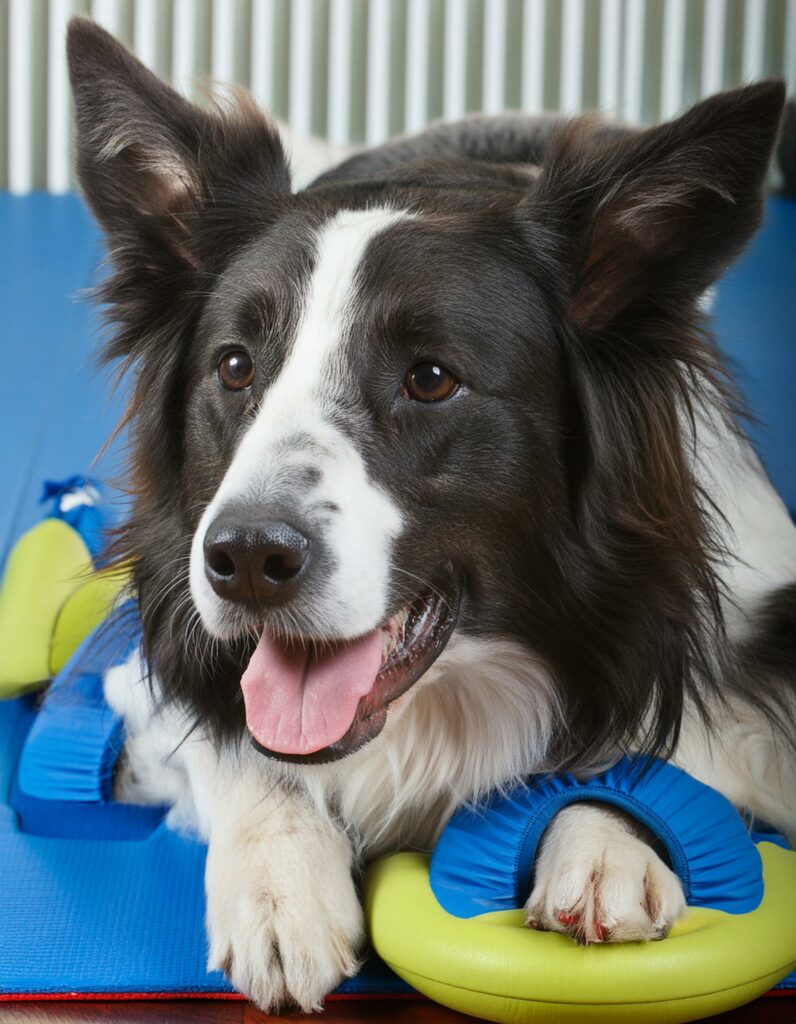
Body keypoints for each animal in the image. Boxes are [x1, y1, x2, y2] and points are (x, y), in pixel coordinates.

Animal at [68, 19, 794, 1011]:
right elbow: (237, 740)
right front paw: (277, 883)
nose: (245, 559)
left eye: (432, 378)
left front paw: (603, 831)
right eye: (234, 366)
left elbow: (672, 730)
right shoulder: (154, 662)